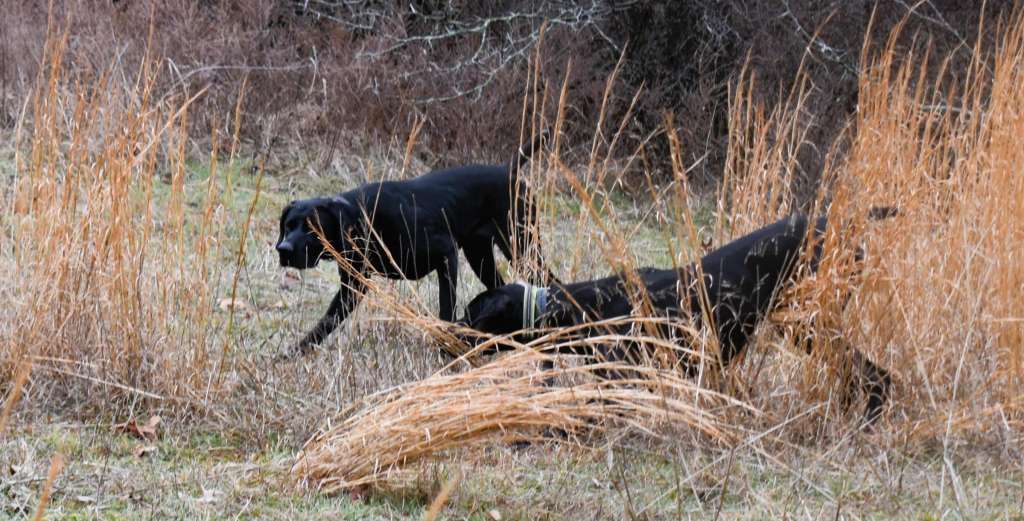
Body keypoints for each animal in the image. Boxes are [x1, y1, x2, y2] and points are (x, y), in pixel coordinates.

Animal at [276, 136, 557, 358]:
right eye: (288, 226)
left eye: (312, 228)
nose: (284, 250)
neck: (363, 217)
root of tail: (507, 169)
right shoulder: (352, 286)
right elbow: (326, 323)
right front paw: (294, 353)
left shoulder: (445, 254)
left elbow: (446, 307)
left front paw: (447, 346)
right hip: (481, 256)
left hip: (522, 247)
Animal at [460, 210, 892, 421]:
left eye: (470, 313)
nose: (451, 329)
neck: (580, 307)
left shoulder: (625, 381)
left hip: (807, 321)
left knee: (876, 376)